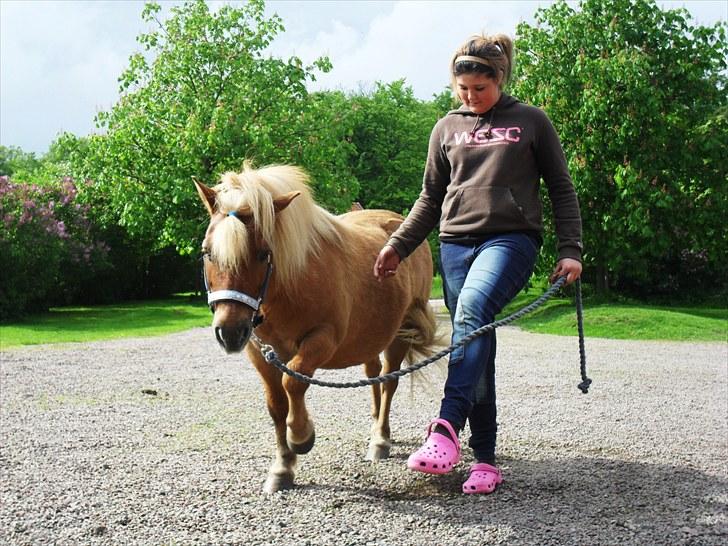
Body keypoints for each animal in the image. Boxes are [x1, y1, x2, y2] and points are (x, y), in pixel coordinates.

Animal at [193, 164, 438, 490]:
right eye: (207, 252)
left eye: (263, 253)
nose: (230, 332)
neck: (289, 288)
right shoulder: (260, 352)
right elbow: (276, 404)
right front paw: (282, 467)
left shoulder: (321, 340)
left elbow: (293, 383)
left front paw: (301, 436)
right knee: (374, 375)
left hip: (401, 333)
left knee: (389, 382)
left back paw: (381, 439)